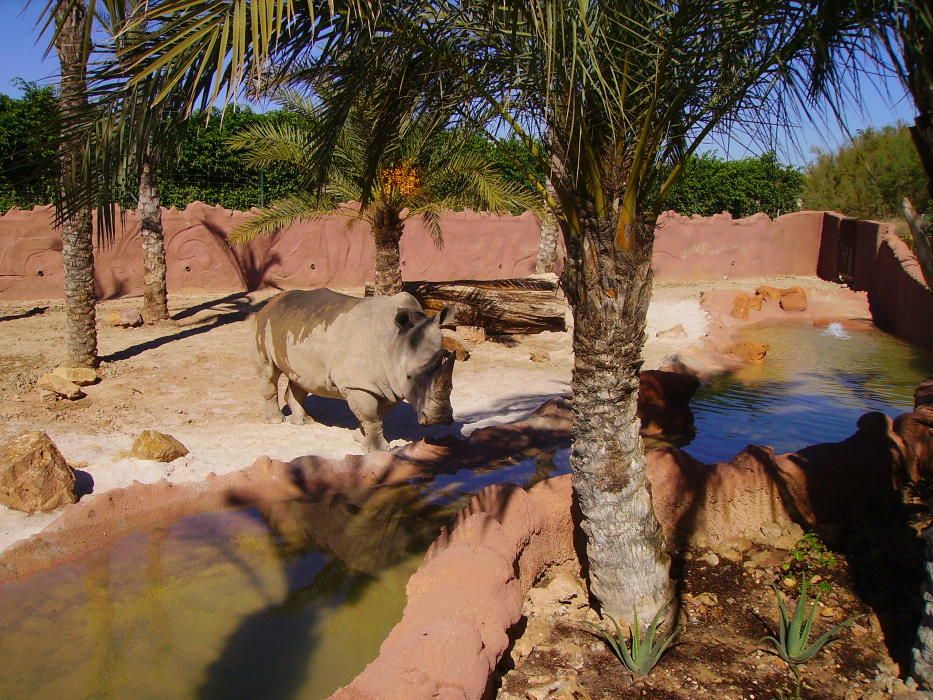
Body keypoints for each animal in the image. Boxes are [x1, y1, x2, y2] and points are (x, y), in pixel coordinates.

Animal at [251, 288, 456, 452]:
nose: (440, 418)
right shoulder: (359, 385)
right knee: (269, 372)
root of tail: (271, 302)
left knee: (300, 378)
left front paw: (360, 438)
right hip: (263, 324)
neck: (393, 342)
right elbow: (371, 416)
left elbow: (377, 414)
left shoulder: (390, 385)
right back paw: (276, 421)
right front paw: (377, 450)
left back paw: (304, 422)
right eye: (410, 376)